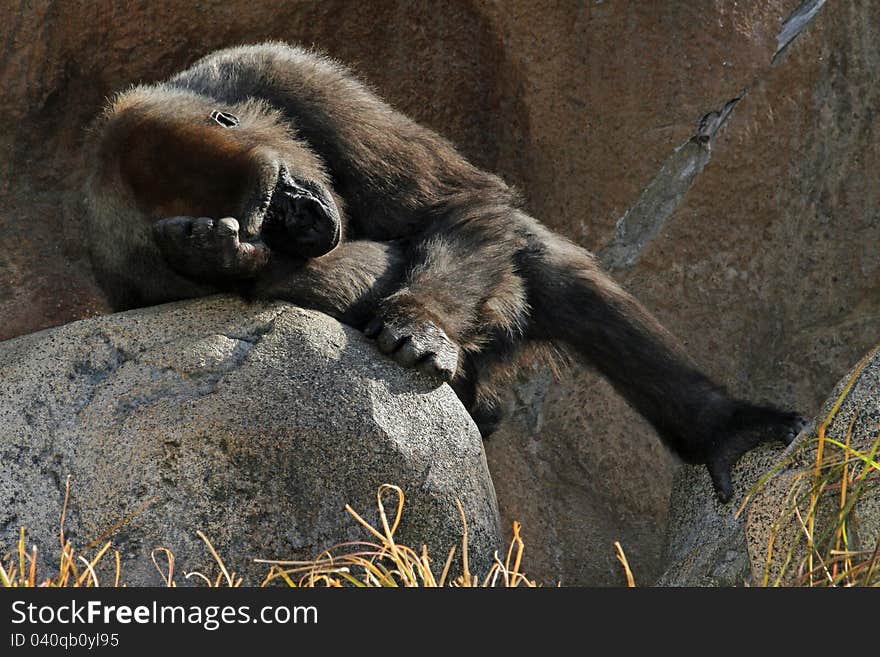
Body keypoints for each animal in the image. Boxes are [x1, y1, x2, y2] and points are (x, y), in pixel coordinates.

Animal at [86, 42, 808, 502]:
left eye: (278, 195)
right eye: (264, 221)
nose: (309, 222)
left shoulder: (286, 73)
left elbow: (458, 205)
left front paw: (421, 321)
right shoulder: (131, 271)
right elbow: (300, 284)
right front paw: (223, 256)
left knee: (545, 267)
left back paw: (720, 426)